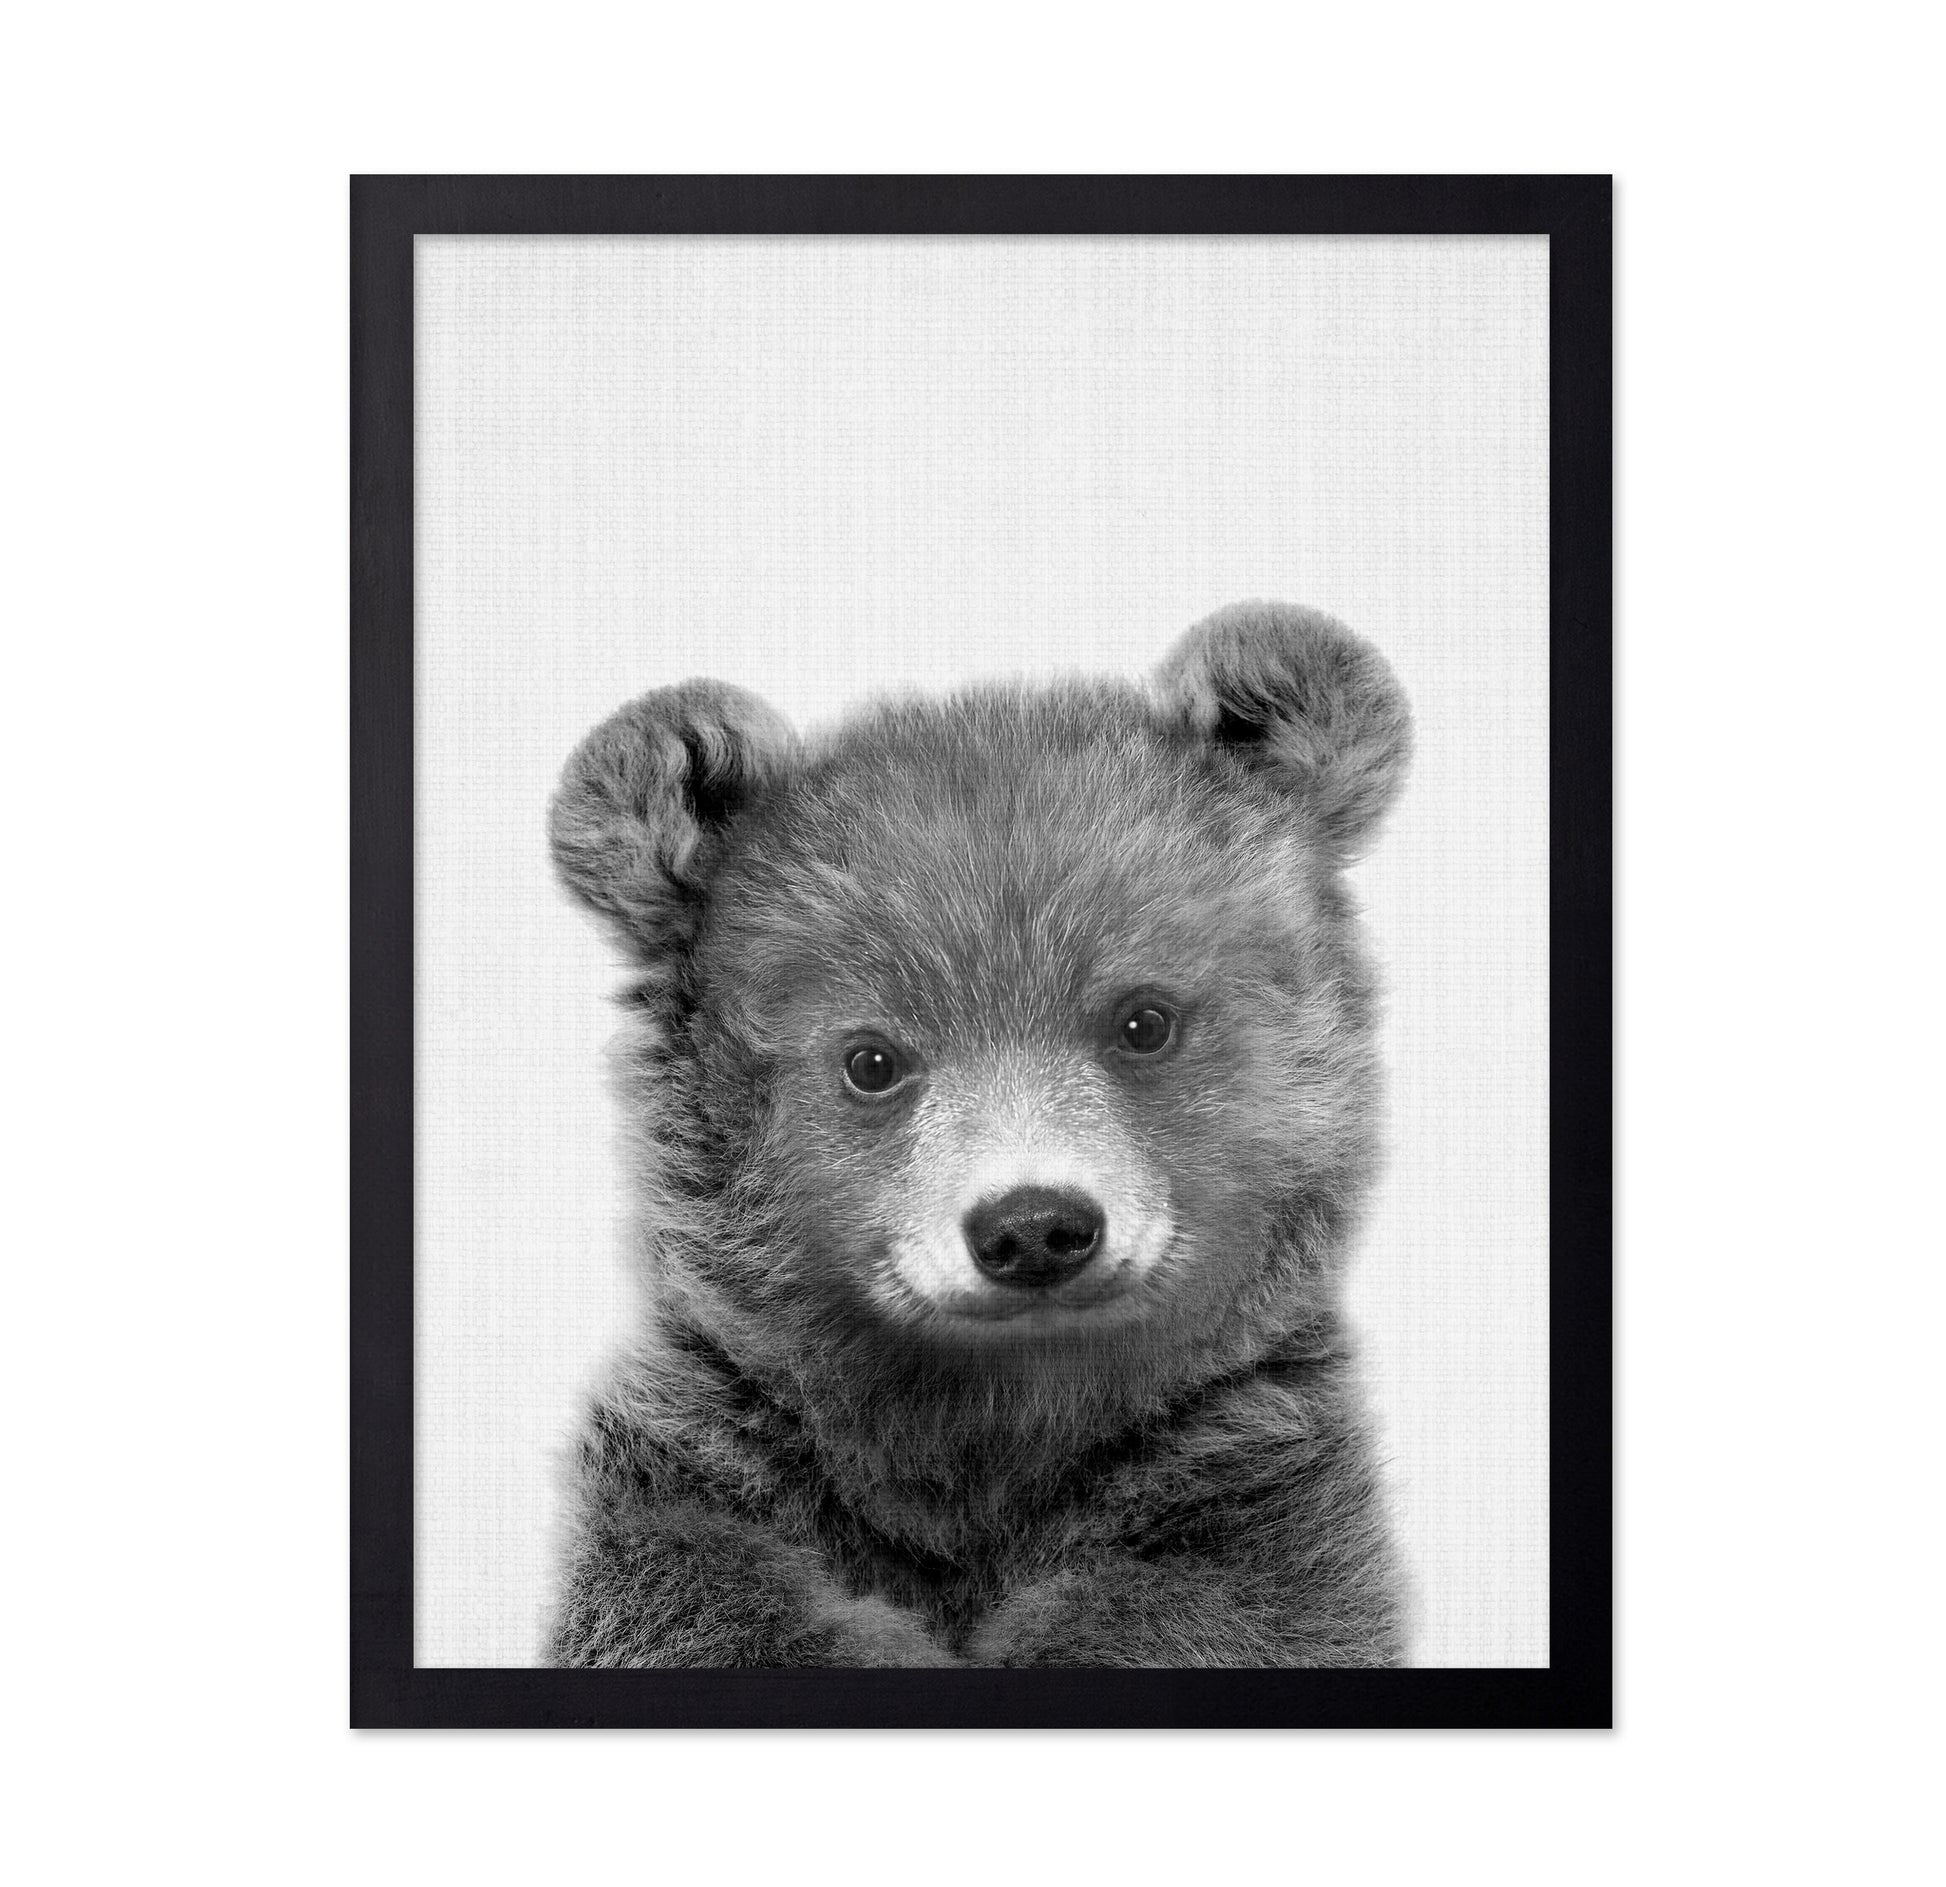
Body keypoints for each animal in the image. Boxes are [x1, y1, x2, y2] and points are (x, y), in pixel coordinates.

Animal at [546, 600, 1413, 1667]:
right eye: (872, 1059)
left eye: (1144, 1019)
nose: (1033, 1226)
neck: (992, 1430)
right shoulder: (714, 1472)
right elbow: (701, 1594)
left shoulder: (1247, 1494)